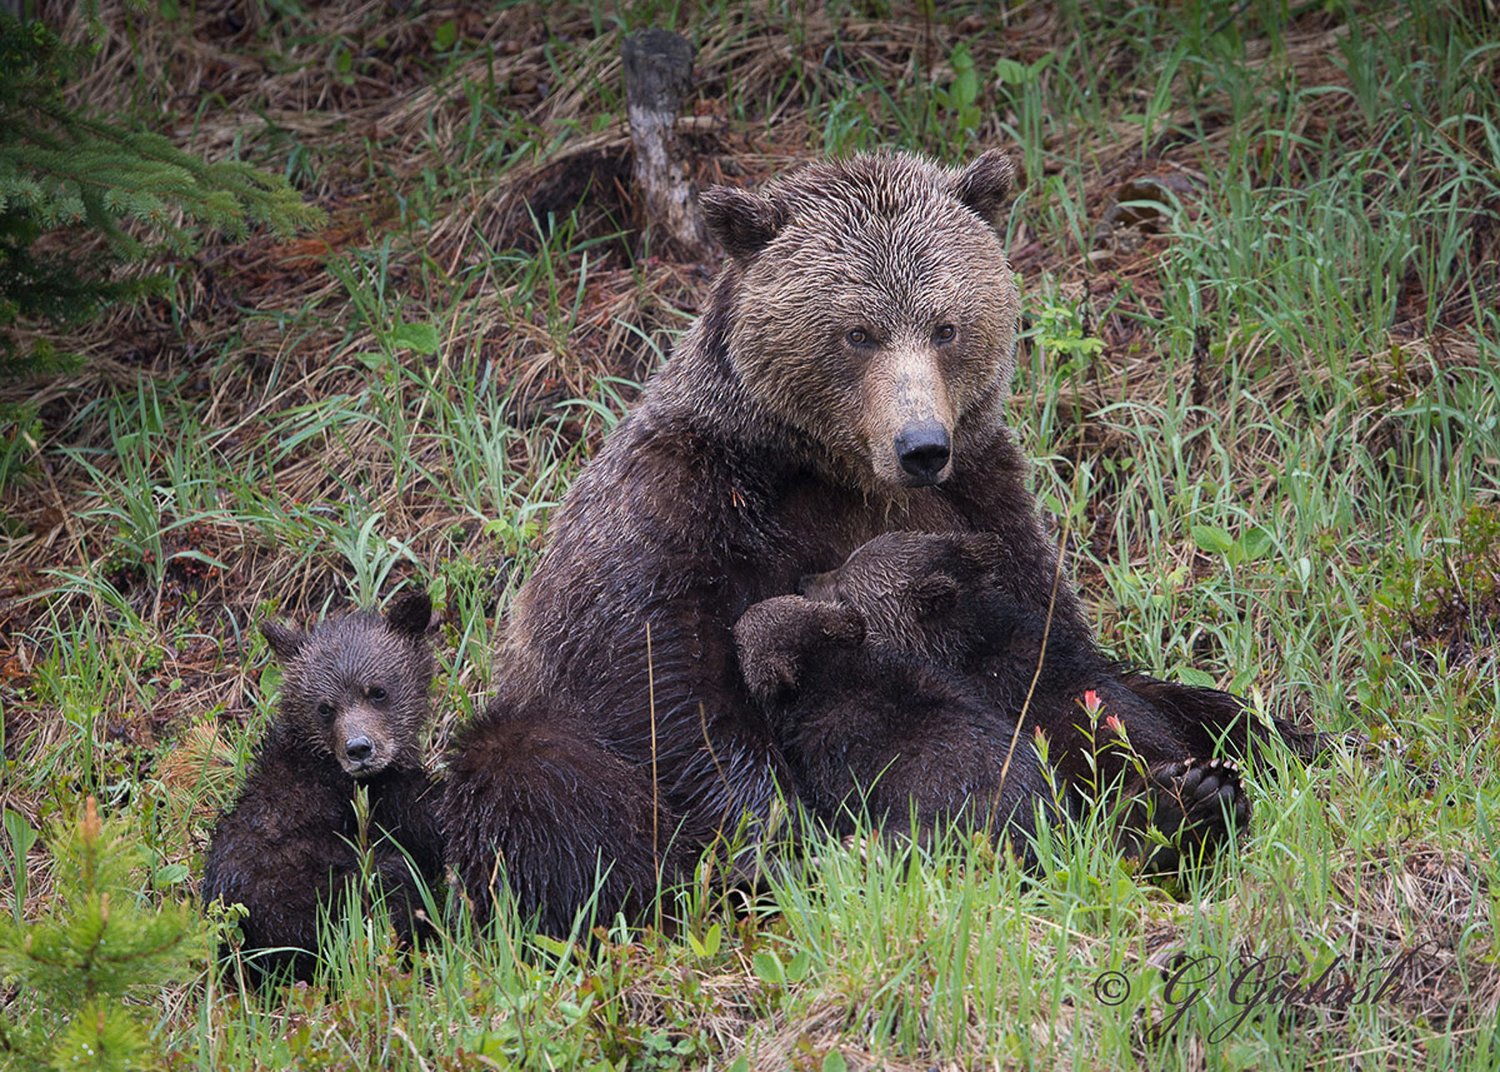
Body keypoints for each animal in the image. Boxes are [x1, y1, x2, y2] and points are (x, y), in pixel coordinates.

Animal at [201, 589, 444, 982]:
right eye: (325, 707)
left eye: (377, 691)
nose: (359, 749)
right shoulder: (374, 798)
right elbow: (427, 821)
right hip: (320, 899)